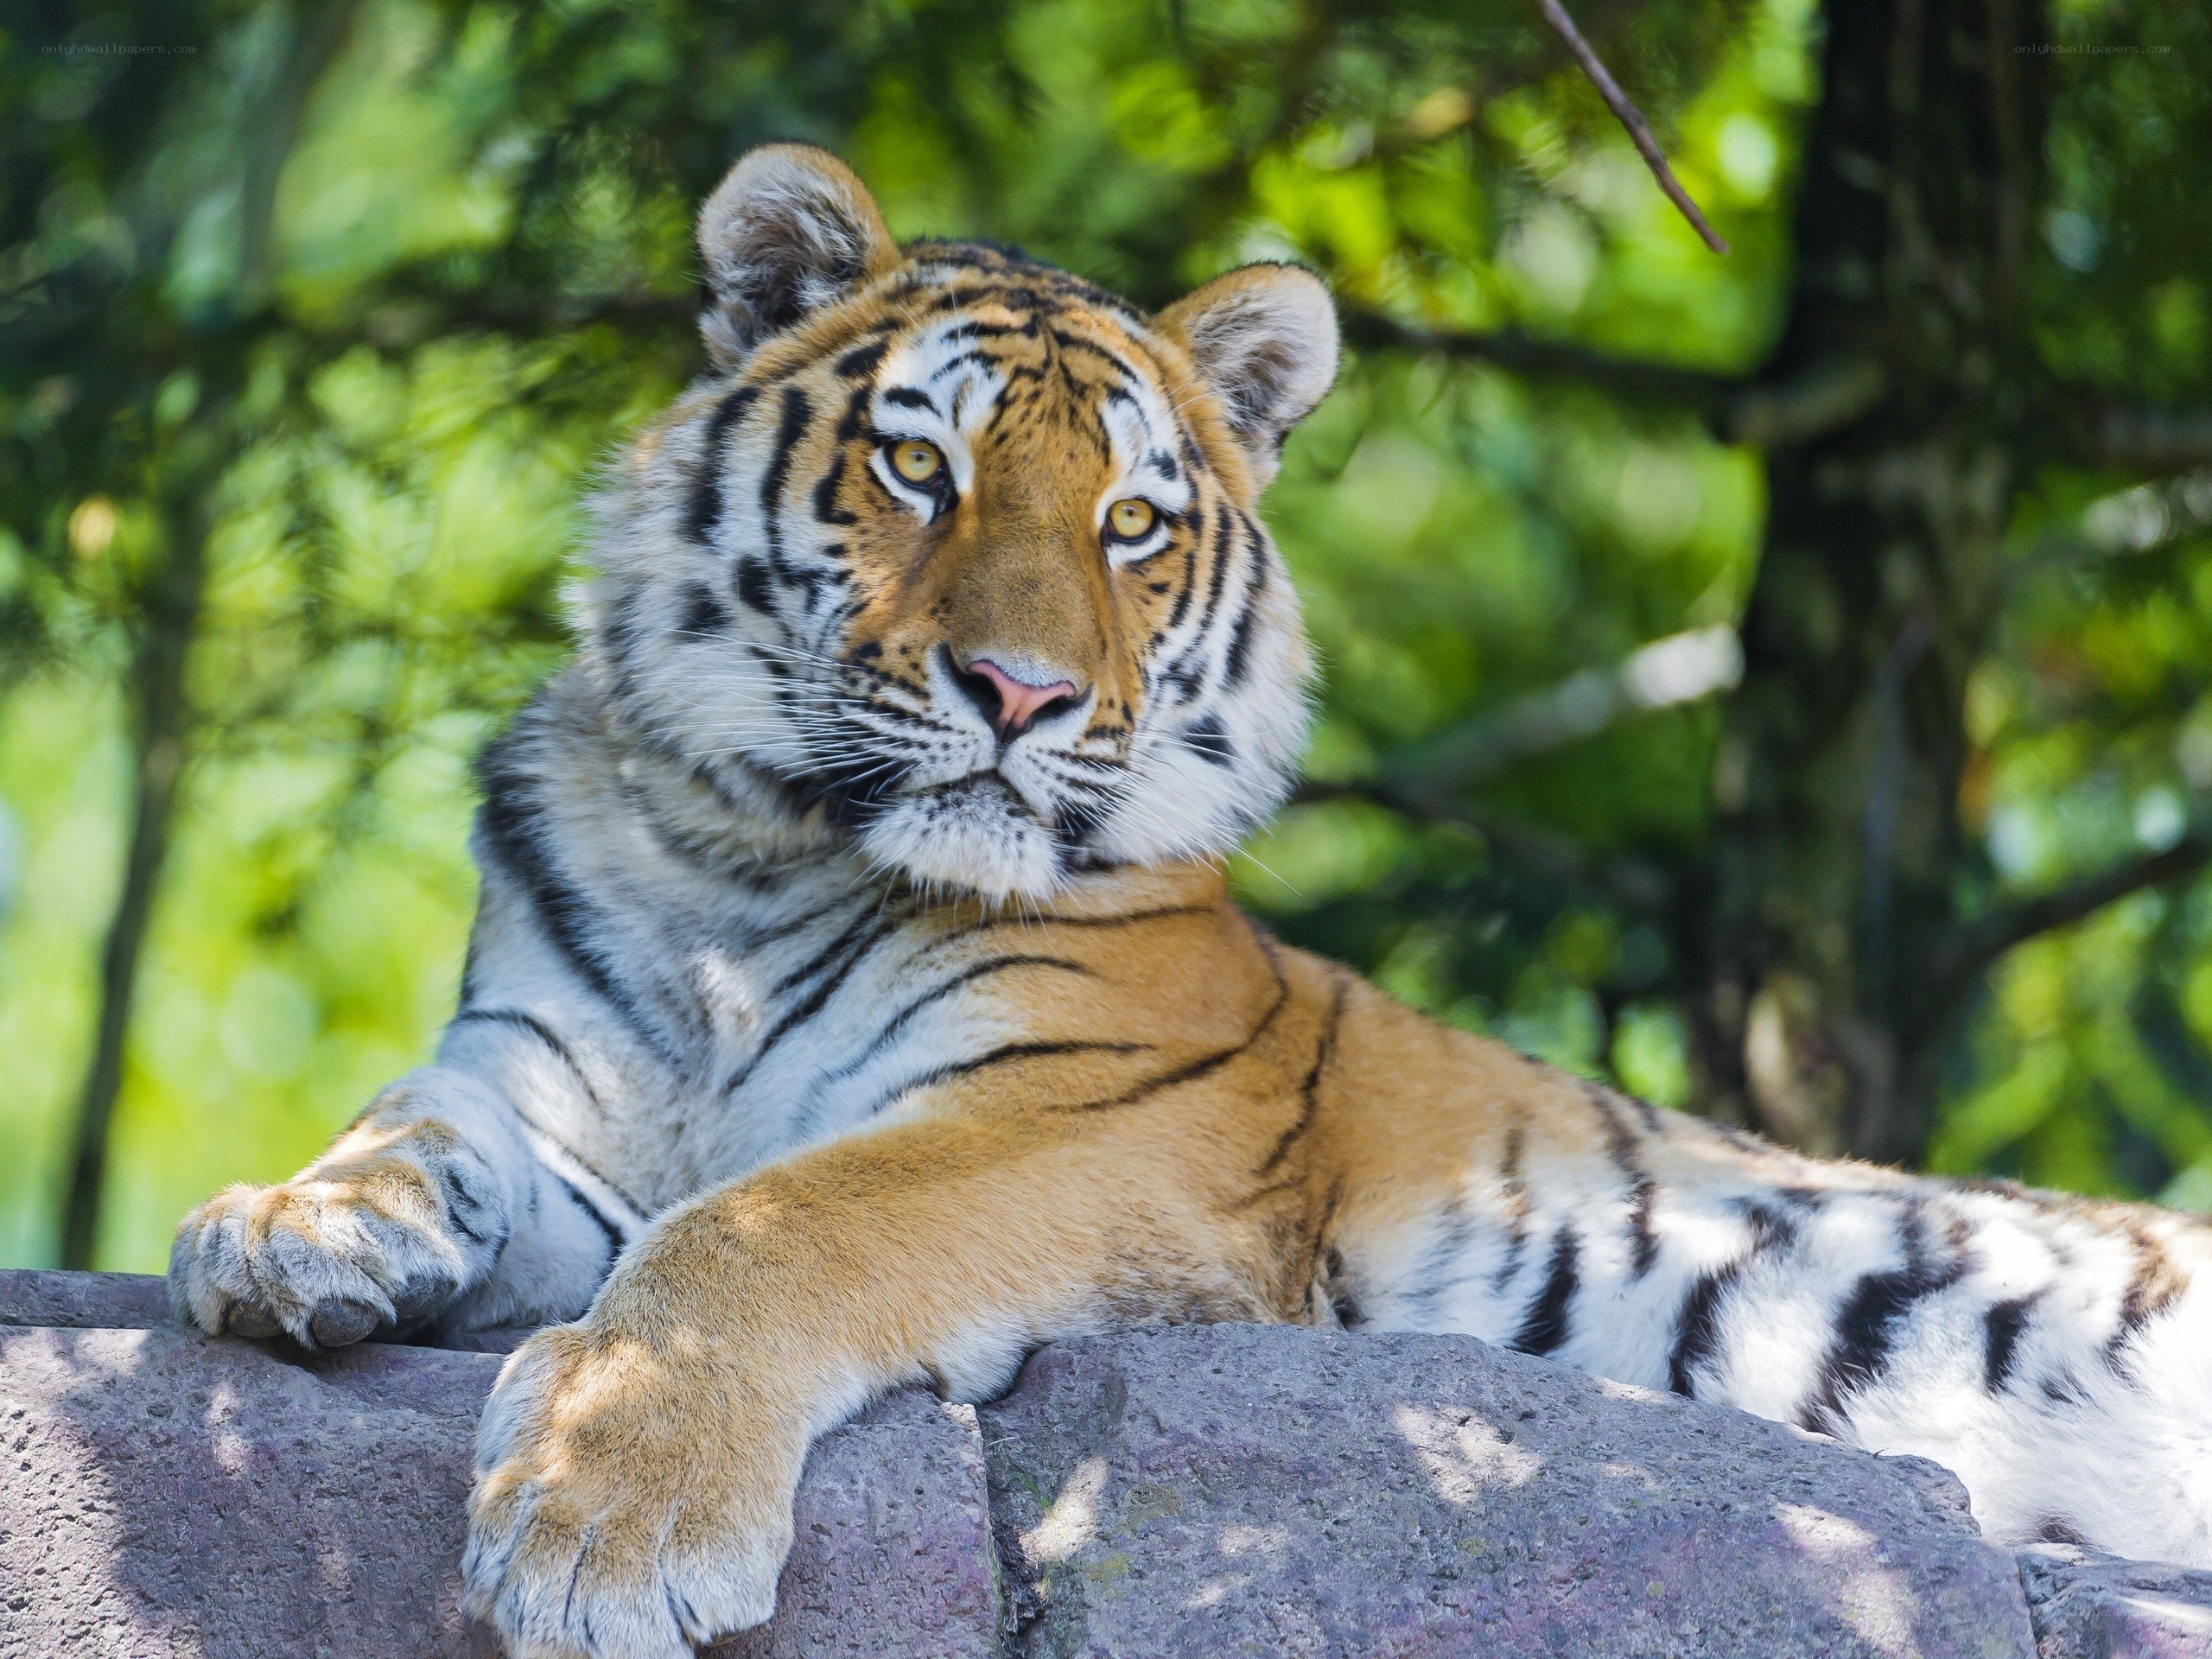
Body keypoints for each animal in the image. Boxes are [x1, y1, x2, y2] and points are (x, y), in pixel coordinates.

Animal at [166, 145, 2212, 1659]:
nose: (1021, 696)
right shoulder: (544, 1086)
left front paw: (608, 1520)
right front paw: (286, 1230)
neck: (740, 861)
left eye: (1131, 525)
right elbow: (415, 1121)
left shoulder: (1094, 1122)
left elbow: (766, 1225)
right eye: (919, 465)